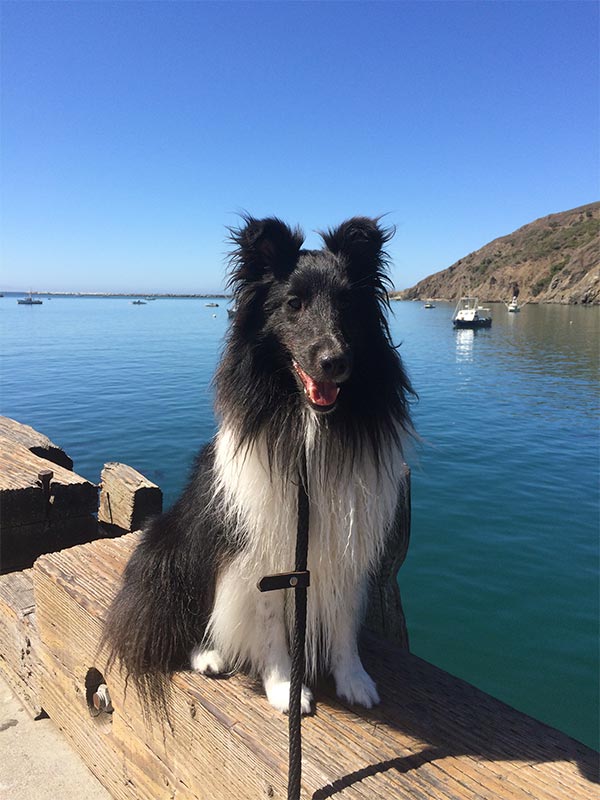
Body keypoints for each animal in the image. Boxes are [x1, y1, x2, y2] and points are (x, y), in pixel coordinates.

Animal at [104, 216, 412, 716]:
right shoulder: (263, 553)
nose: (335, 362)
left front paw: (353, 678)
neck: (309, 426)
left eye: (348, 305)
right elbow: (269, 627)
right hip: (174, 549)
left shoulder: (345, 543)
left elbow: (344, 619)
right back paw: (209, 654)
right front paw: (285, 687)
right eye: (293, 304)